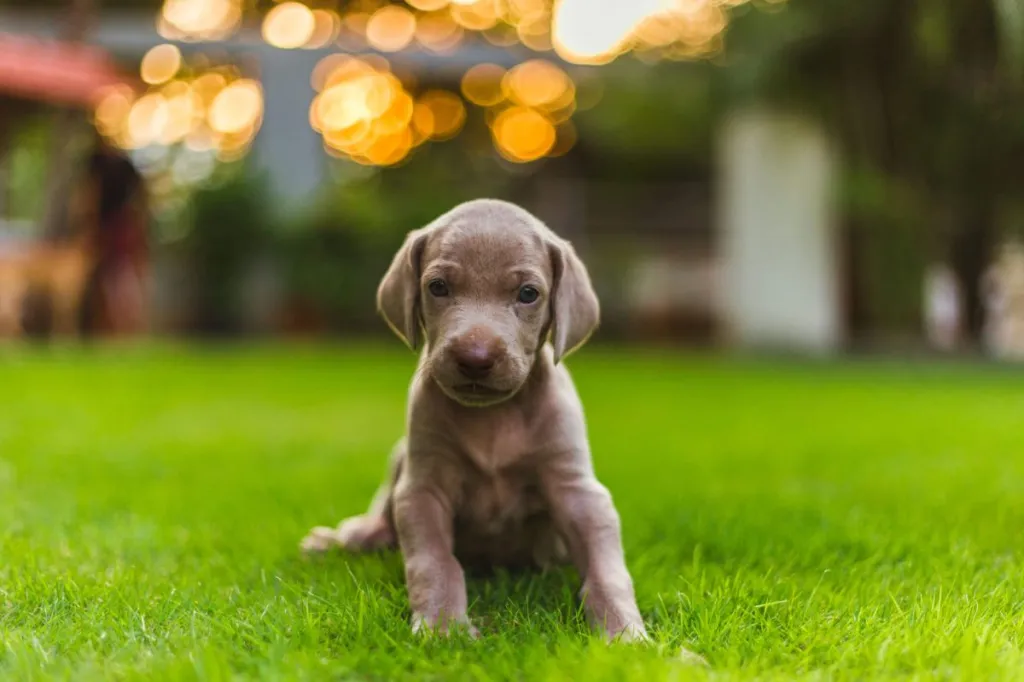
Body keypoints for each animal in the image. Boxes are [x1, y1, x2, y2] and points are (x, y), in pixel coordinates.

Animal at [303, 197, 651, 643]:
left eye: (528, 294)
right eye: (437, 287)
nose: (475, 357)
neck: (493, 418)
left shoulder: (578, 491)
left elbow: (607, 571)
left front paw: (624, 633)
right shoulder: (424, 489)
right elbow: (435, 563)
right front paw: (443, 627)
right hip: (401, 455)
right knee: (382, 514)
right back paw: (343, 538)